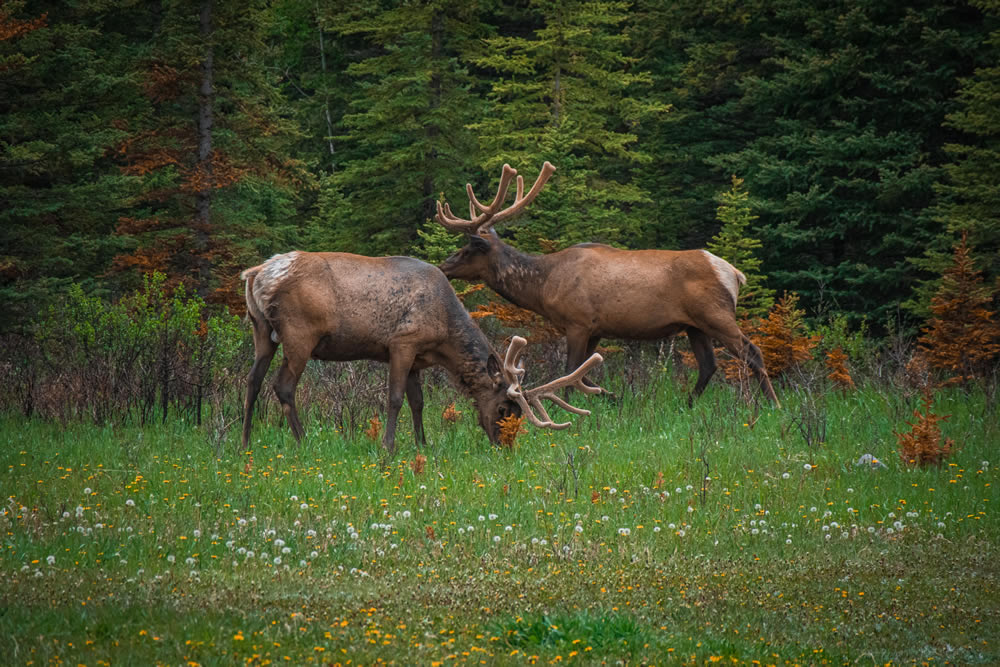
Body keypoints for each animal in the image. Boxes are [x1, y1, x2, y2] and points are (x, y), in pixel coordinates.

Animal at [238, 252, 604, 454]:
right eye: (503, 409)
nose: (505, 446)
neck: (443, 337)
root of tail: (255, 275)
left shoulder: (417, 359)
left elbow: (418, 401)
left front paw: (422, 444)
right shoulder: (402, 342)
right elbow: (395, 398)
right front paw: (388, 447)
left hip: (261, 330)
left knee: (252, 381)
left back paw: (245, 442)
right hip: (300, 332)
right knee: (283, 385)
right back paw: (303, 441)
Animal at [438, 164, 780, 410]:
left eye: (468, 248)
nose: (443, 266)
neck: (544, 286)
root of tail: (735, 274)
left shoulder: (577, 322)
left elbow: (570, 370)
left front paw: (579, 405)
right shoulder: (596, 329)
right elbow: (584, 372)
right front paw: (611, 396)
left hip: (716, 315)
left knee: (752, 353)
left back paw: (772, 406)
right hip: (694, 325)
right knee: (708, 365)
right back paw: (687, 405)